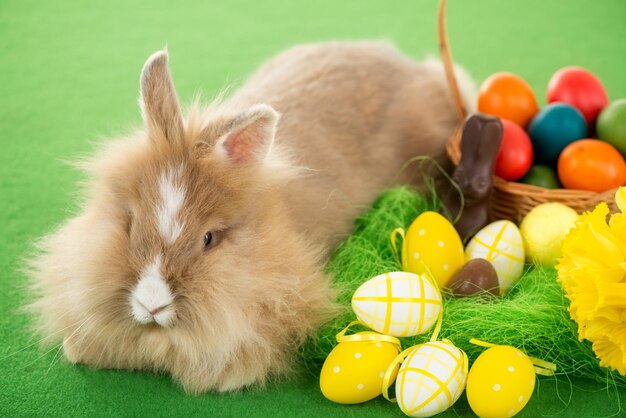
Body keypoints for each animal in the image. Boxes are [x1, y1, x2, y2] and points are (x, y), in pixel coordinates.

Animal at [25, 42, 472, 396]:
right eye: (130, 224)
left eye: (209, 239)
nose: (151, 304)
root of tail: (419, 69)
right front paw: (76, 351)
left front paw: (228, 380)